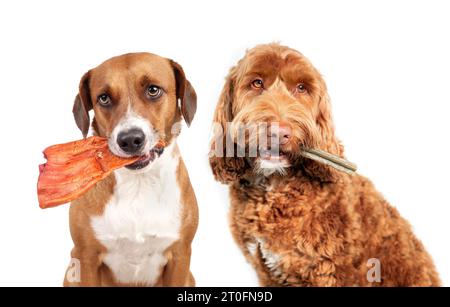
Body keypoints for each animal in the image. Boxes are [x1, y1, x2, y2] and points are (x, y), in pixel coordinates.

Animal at [64, 52, 198, 286]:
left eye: (153, 90)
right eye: (104, 98)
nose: (129, 139)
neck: (139, 184)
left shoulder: (180, 256)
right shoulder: (85, 256)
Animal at [210, 42, 440, 286]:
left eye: (301, 88)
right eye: (257, 83)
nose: (279, 132)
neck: (274, 186)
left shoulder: (327, 271)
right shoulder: (265, 270)